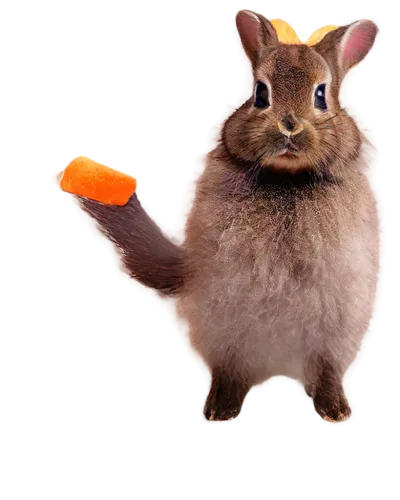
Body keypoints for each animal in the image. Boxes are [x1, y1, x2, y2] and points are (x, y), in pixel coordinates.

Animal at [54, 10, 386, 426]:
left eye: (321, 95)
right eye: (260, 94)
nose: (289, 125)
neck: (288, 179)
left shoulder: (334, 333)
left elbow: (326, 368)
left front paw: (338, 413)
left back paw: (336, 411)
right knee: (232, 374)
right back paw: (219, 411)